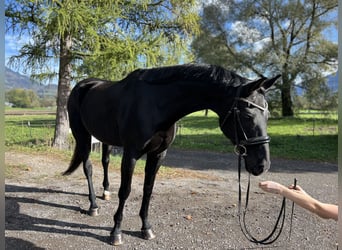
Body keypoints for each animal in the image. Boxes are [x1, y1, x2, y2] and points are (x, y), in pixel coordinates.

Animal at [64, 63, 280, 245]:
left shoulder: (158, 154)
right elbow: (125, 191)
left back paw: (105, 192)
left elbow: (148, 190)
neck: (155, 104)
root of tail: (82, 85)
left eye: (268, 115)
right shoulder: (131, 153)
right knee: (88, 167)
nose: (262, 165)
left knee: (105, 161)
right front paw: (116, 232)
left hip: (104, 138)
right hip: (82, 135)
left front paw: (146, 228)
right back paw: (93, 206)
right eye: (247, 114)